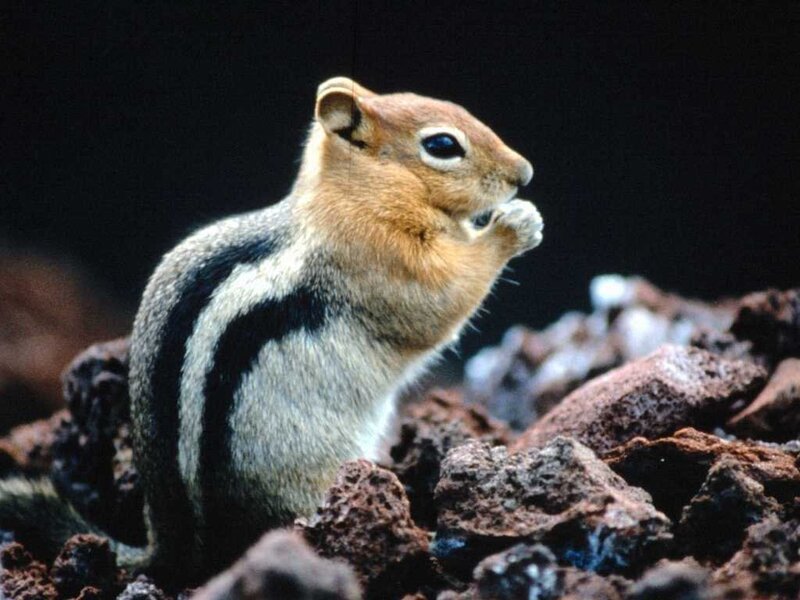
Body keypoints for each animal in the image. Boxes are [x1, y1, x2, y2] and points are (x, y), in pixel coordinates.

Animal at [0, 77, 542, 583]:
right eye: (443, 145)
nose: (525, 174)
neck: (358, 194)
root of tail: (173, 546)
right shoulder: (388, 262)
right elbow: (445, 298)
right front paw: (514, 226)